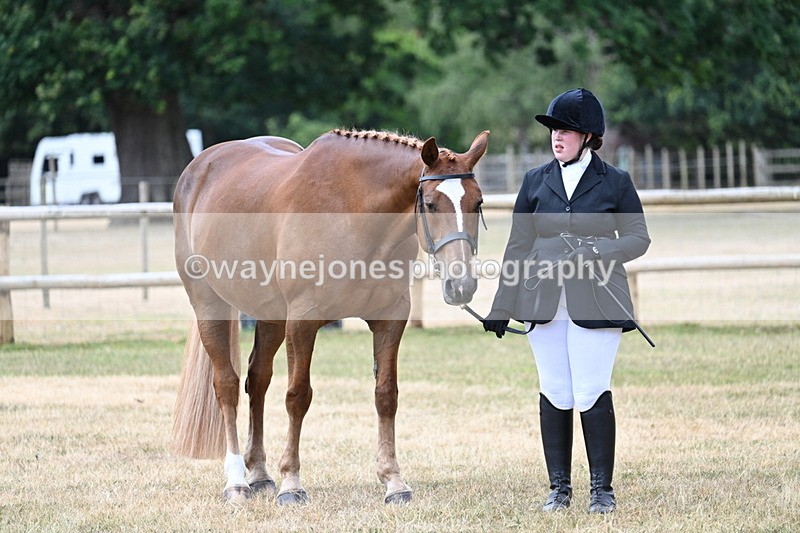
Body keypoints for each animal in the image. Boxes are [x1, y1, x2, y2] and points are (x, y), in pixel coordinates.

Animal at [171, 128, 490, 505]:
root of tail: (199, 167)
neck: (352, 211)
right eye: (429, 204)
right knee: (228, 386)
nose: (462, 284)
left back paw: (260, 474)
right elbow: (297, 396)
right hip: (209, 305)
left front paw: (393, 481)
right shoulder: (303, 322)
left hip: (270, 318)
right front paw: (292, 483)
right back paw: (236, 482)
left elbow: (386, 395)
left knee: (257, 381)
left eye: (478, 203)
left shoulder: (391, 318)